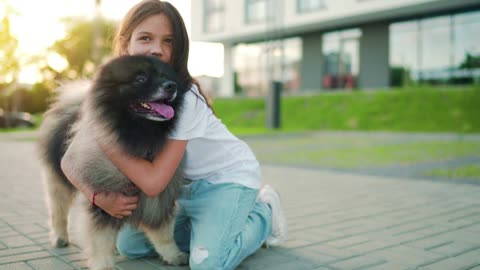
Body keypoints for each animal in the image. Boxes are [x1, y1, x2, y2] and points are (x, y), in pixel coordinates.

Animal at [37, 55, 189, 270]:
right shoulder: (104, 199)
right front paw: (104, 264)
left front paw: (172, 254)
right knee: (58, 211)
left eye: (165, 76)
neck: (138, 136)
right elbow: (101, 239)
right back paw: (60, 237)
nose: (171, 86)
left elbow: (164, 231)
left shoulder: (159, 194)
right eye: (140, 79)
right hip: (57, 180)